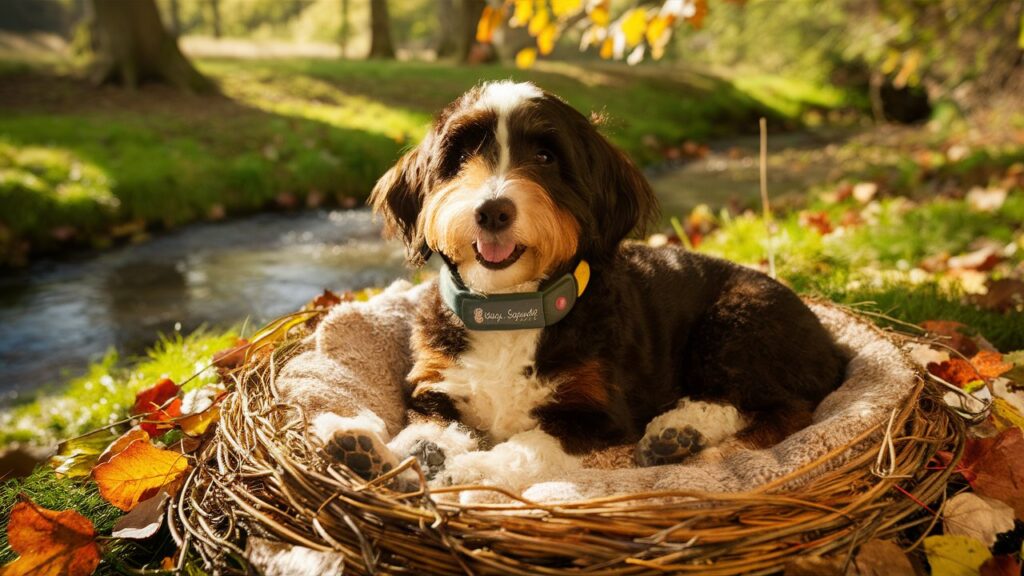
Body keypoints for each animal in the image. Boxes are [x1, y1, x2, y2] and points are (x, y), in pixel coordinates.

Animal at [321, 80, 847, 483]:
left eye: (546, 156)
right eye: (462, 154)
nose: (492, 210)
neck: (510, 309)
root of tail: (831, 342)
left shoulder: (594, 413)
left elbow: (527, 445)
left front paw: (473, 471)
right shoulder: (433, 386)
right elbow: (425, 428)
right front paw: (391, 451)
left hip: (736, 324)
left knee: (778, 408)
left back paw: (682, 434)